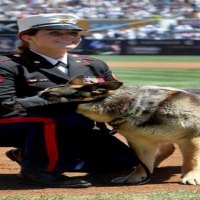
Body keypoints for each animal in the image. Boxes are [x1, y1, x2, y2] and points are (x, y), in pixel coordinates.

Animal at [39, 75, 200, 186]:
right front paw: (135, 177)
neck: (136, 106)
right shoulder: (142, 144)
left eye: (48, 95)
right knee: (167, 149)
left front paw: (191, 176)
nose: (35, 97)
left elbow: (191, 161)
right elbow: (142, 164)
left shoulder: (193, 137)